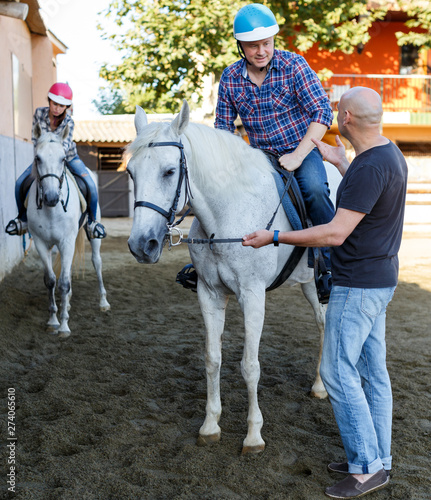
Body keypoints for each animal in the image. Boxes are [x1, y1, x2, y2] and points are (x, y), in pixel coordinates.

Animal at [26, 123, 110, 338]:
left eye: (63, 158)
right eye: (37, 158)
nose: (51, 197)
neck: (51, 210)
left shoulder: (66, 241)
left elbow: (63, 283)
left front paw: (64, 325)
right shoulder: (41, 243)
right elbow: (51, 281)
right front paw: (53, 321)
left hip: (92, 236)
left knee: (97, 262)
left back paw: (103, 302)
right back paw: (69, 303)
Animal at [126, 100, 342, 454]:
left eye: (169, 171)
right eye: (131, 172)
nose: (142, 245)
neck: (226, 215)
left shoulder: (253, 296)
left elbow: (249, 366)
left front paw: (253, 435)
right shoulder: (210, 294)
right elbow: (213, 359)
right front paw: (210, 425)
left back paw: (324, 386)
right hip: (308, 283)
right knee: (324, 324)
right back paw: (321, 385)